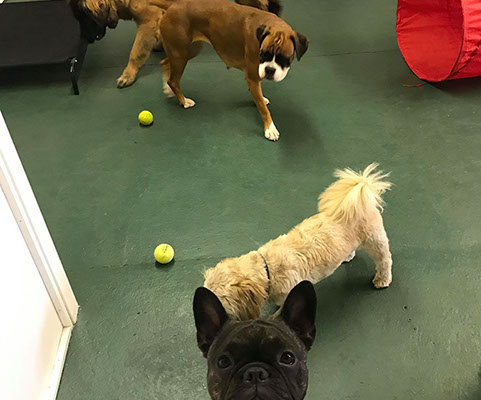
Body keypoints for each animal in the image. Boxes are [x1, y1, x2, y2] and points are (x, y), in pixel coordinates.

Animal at [151, 0, 308, 141]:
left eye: (284, 59)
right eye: (263, 54)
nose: (269, 69)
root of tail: (173, 5)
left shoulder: (254, 78)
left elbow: (258, 98)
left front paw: (261, 99)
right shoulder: (253, 77)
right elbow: (264, 109)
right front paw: (270, 128)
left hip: (187, 51)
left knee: (165, 63)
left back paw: (167, 89)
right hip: (180, 55)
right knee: (174, 80)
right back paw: (183, 101)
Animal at [203, 164, 393, 320]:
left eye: (222, 303)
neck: (267, 268)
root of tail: (362, 191)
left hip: (374, 241)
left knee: (385, 260)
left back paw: (382, 279)